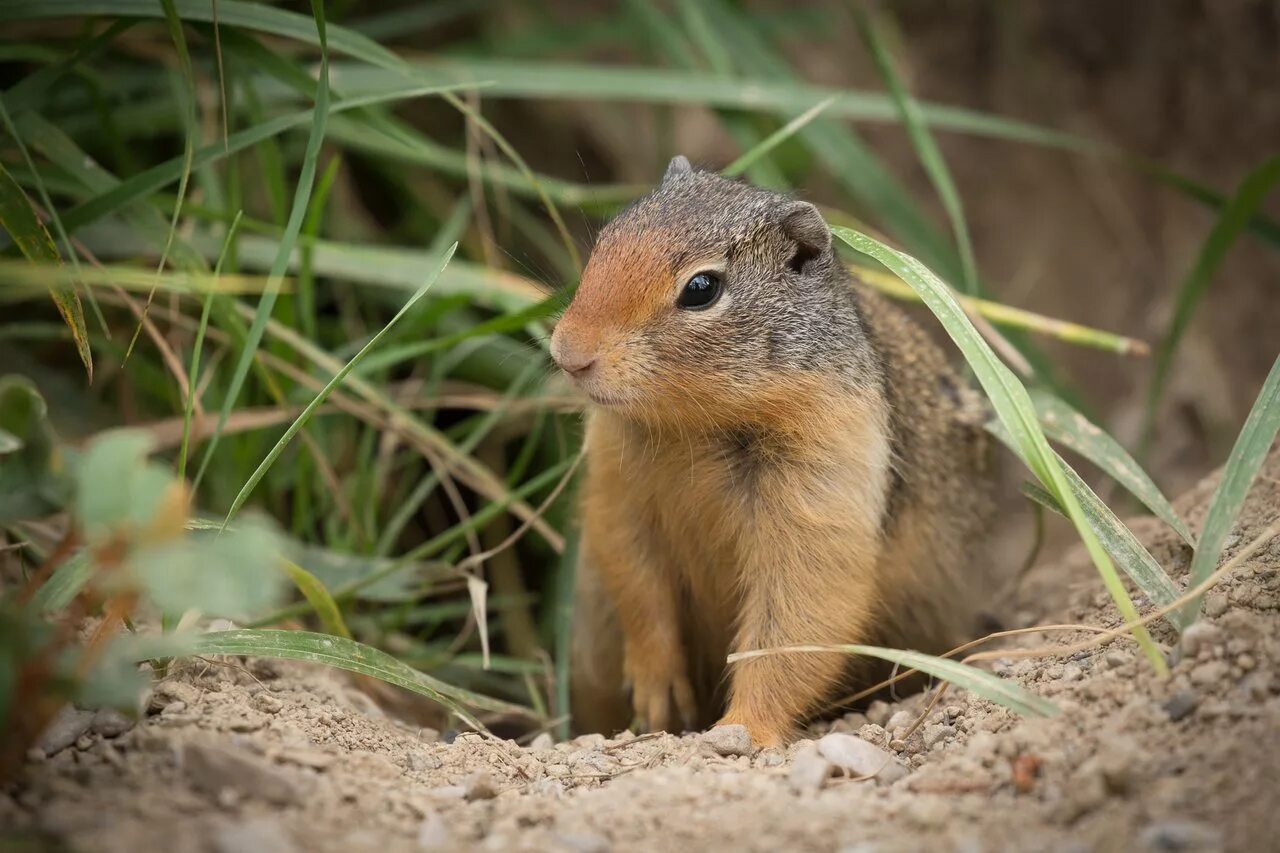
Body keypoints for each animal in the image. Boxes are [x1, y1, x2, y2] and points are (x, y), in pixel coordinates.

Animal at [555, 157, 993, 742]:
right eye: (604, 240)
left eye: (701, 288)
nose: (567, 352)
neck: (693, 428)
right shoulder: (615, 485)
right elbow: (636, 581)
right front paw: (657, 691)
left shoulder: (826, 474)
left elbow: (794, 623)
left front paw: (741, 730)